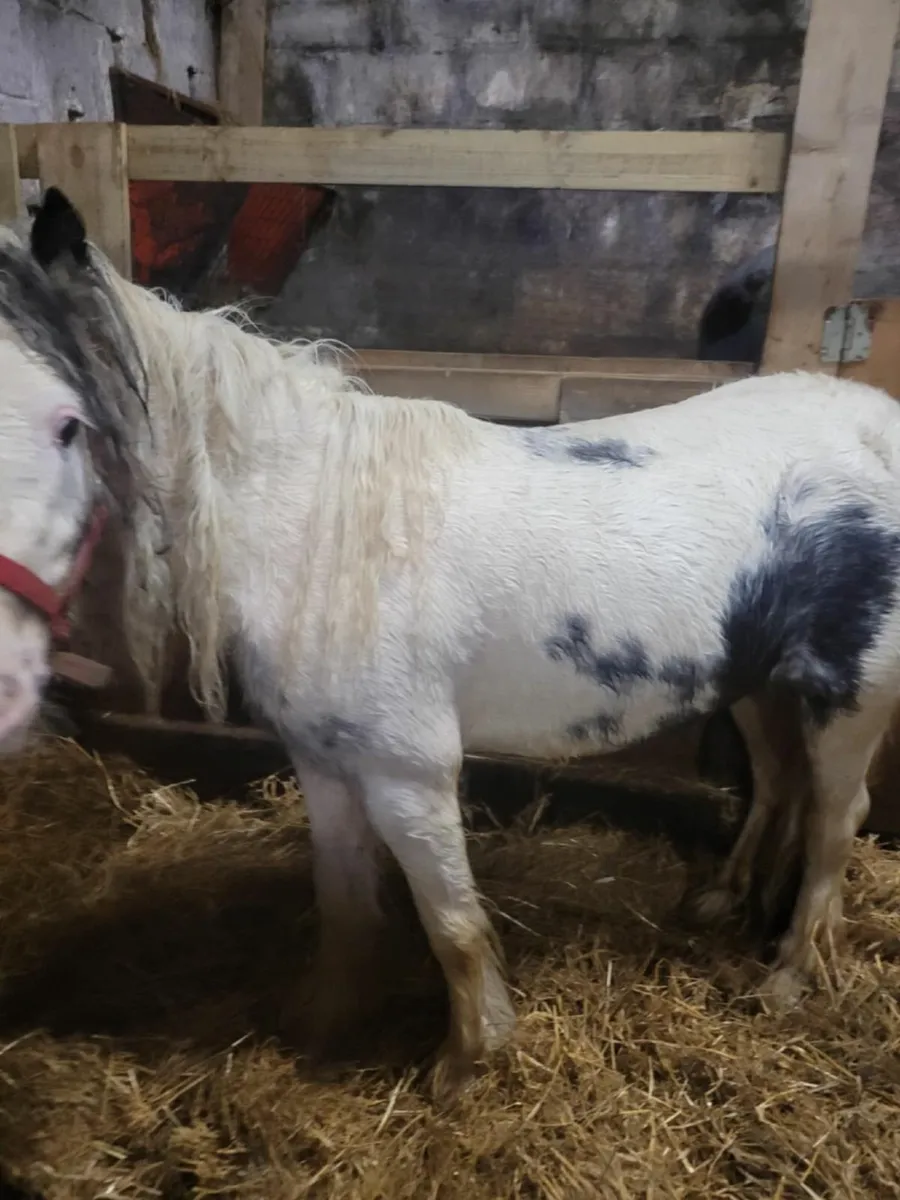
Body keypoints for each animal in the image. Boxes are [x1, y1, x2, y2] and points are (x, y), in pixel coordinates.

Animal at [2, 186, 900, 1100]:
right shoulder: (323, 763)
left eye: (67, 424)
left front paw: (467, 1060)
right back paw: (728, 901)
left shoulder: (409, 774)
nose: (7, 679)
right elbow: (343, 901)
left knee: (835, 821)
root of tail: (874, 425)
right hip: (761, 684)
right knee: (778, 785)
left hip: (849, 700)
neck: (315, 525)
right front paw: (324, 1020)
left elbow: (454, 926)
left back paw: (790, 977)